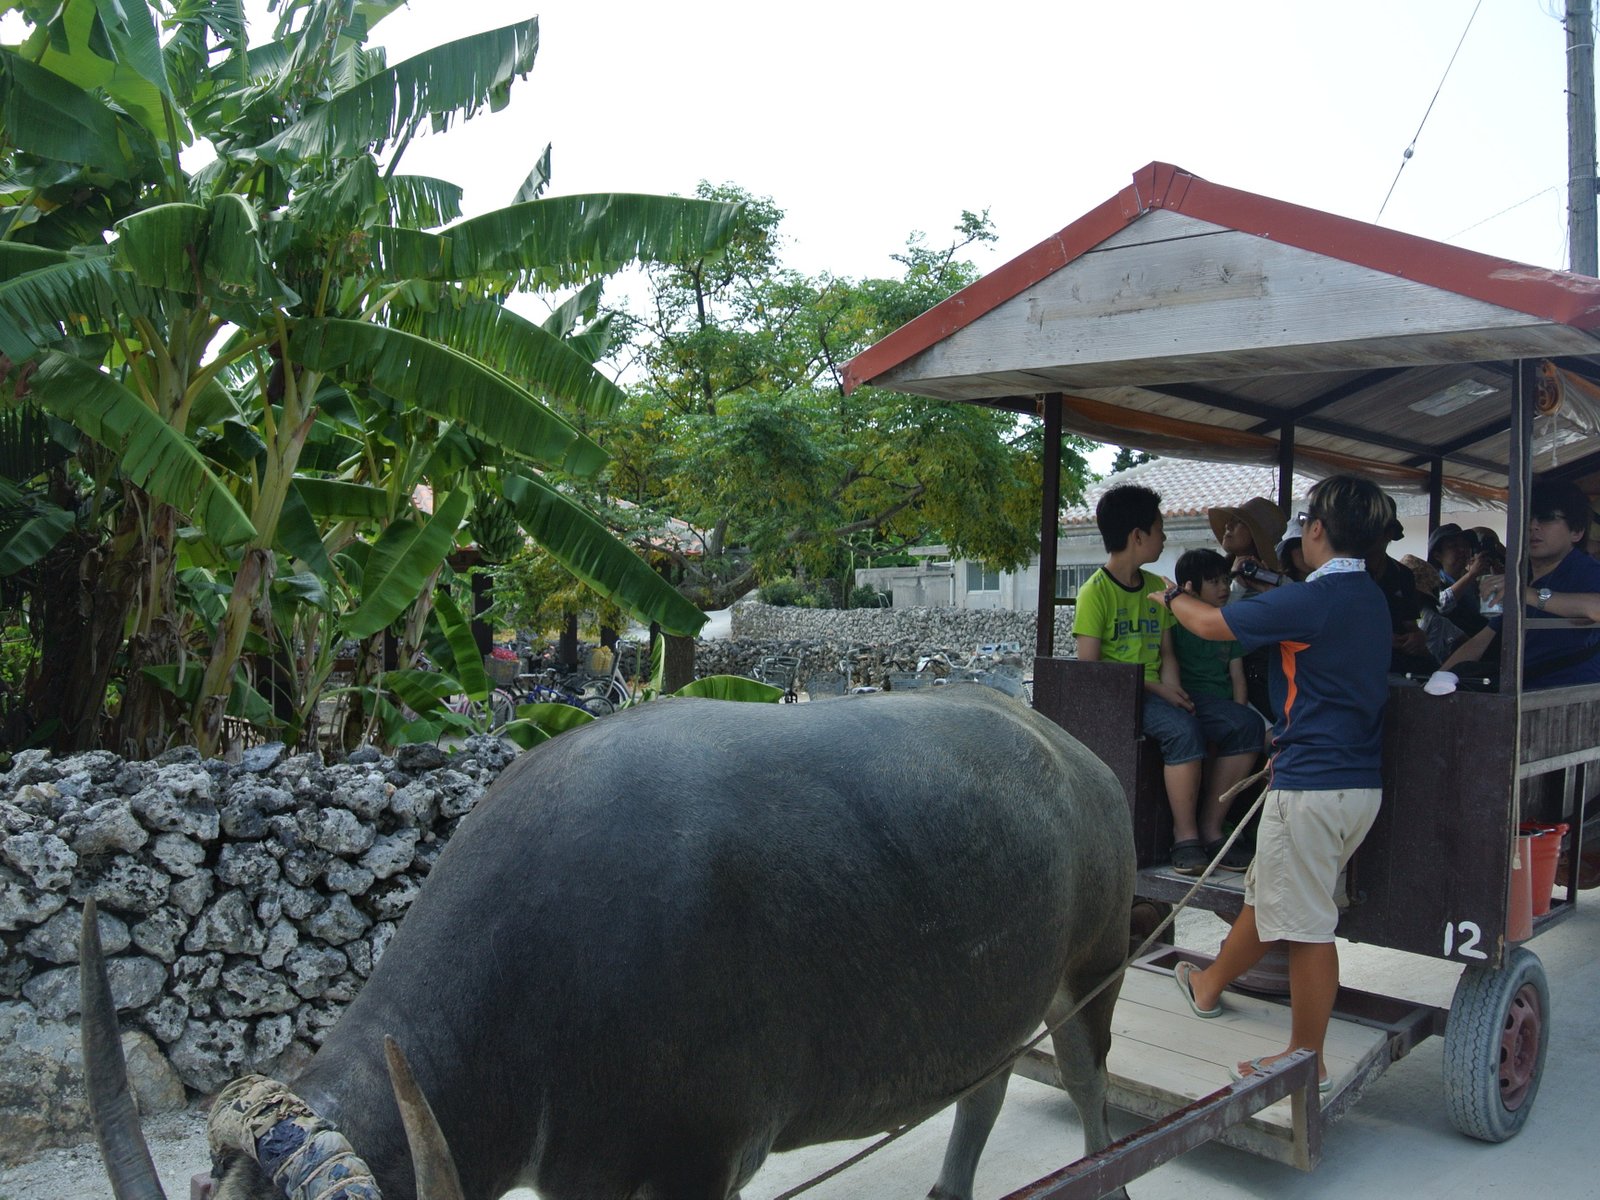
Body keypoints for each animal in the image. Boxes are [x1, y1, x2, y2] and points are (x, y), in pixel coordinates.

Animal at [87, 684, 1139, 1200]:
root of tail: (1081, 758)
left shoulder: (703, 1164)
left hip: (1096, 969)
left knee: (1088, 1083)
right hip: (993, 999)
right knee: (985, 1083)